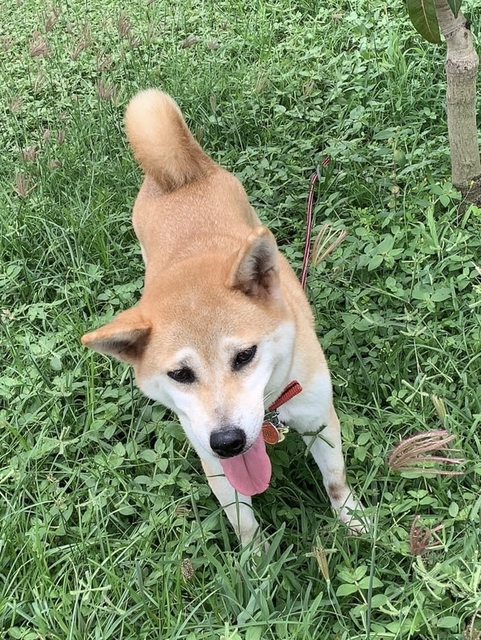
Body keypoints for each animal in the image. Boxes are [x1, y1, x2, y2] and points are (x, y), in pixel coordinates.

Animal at [82, 90, 364, 545]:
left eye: (245, 356)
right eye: (180, 374)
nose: (228, 440)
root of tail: (179, 178)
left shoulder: (319, 419)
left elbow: (336, 481)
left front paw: (354, 522)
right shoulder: (211, 457)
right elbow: (242, 521)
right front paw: (257, 560)